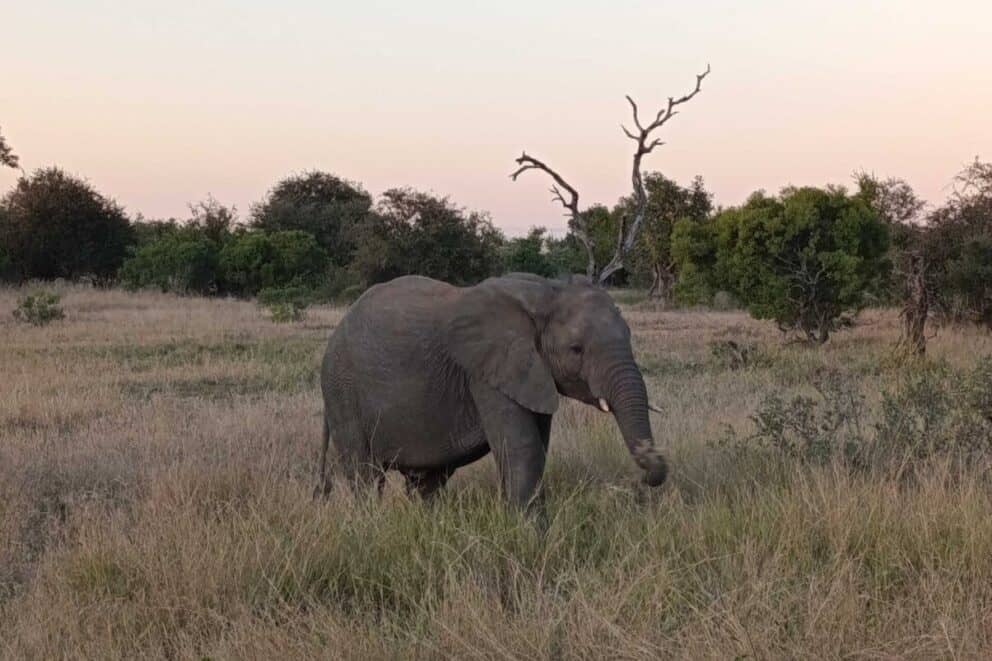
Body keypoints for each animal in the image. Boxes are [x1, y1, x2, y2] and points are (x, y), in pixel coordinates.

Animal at [317, 273, 668, 509]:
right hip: (342, 390)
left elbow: (537, 446)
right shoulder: (488, 370)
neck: (547, 292)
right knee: (364, 473)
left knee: (426, 481)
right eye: (576, 349)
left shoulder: (531, 374)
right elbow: (522, 447)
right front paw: (530, 538)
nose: (639, 482)